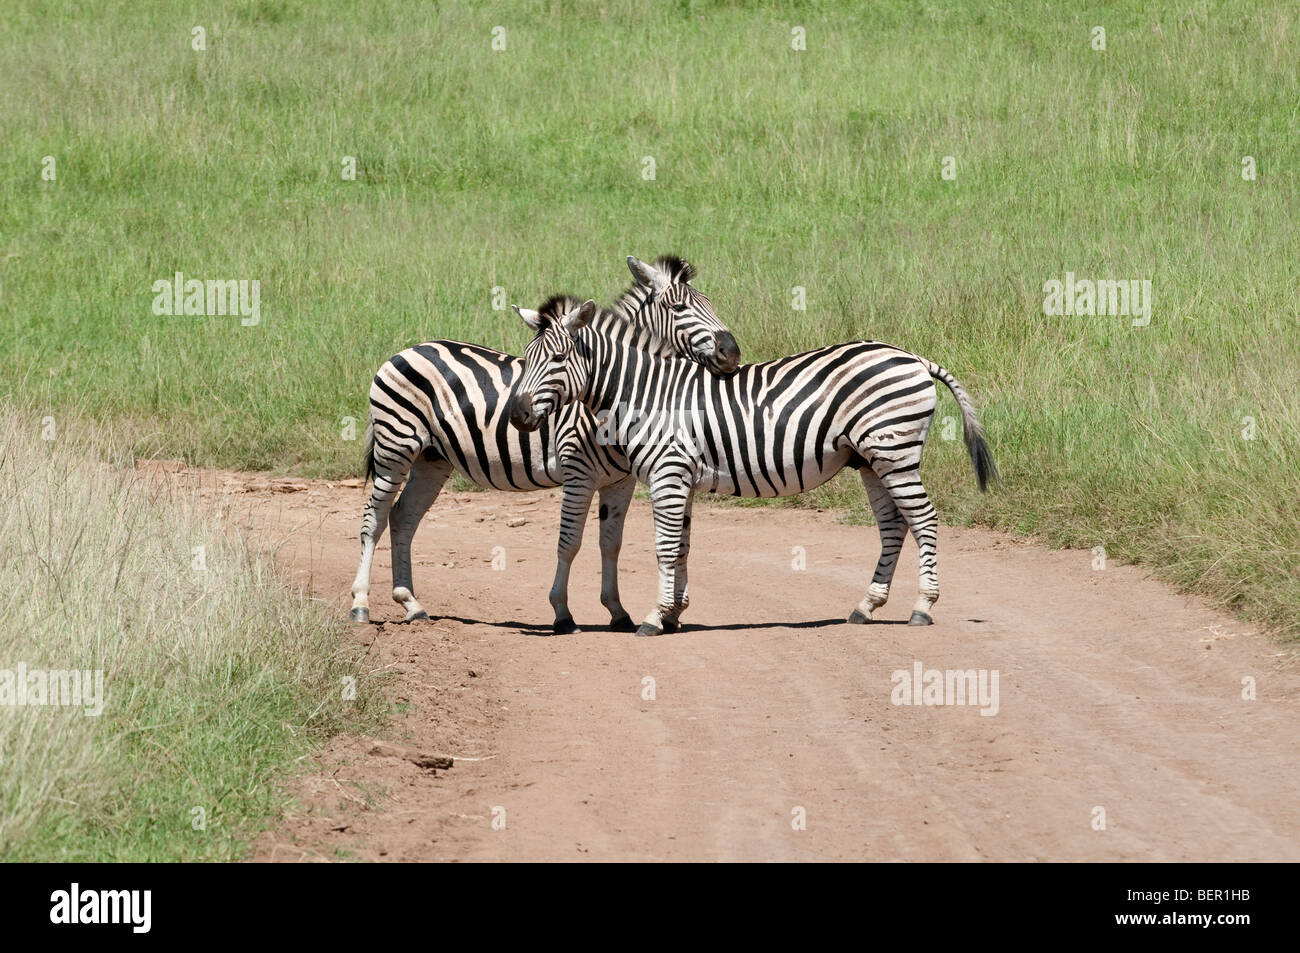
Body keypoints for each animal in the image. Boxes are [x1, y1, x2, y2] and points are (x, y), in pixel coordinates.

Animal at [349, 255, 740, 634]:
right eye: (679, 307)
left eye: (709, 302)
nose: (732, 352)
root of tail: (408, 349)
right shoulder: (579, 472)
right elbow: (570, 543)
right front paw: (563, 614)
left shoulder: (621, 480)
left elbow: (611, 543)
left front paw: (618, 612)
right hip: (395, 446)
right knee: (374, 517)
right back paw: (361, 605)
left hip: (432, 459)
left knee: (403, 517)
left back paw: (411, 604)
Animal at [506, 307, 998, 636]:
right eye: (527, 358)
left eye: (556, 360)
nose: (516, 415)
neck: (645, 393)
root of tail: (914, 358)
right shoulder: (681, 478)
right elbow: (681, 548)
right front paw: (673, 614)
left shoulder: (668, 474)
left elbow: (664, 549)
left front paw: (653, 618)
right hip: (871, 460)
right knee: (895, 526)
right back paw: (866, 606)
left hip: (894, 452)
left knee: (924, 519)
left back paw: (922, 607)